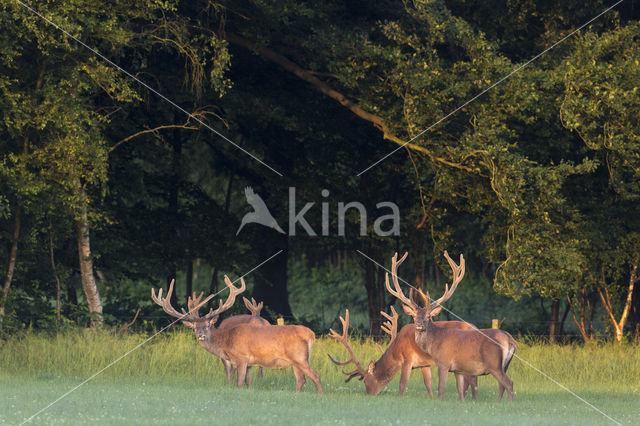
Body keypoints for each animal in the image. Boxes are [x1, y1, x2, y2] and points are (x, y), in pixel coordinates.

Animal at [149, 276, 320, 392]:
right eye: (195, 327)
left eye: (208, 325)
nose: (201, 335)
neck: (227, 340)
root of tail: (311, 334)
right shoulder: (250, 363)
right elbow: (248, 383)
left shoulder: (241, 358)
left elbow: (239, 383)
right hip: (296, 360)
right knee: (302, 380)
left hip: (299, 356)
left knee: (314, 376)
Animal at [384, 251, 516, 402]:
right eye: (414, 316)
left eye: (428, 316)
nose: (419, 325)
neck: (434, 343)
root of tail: (510, 339)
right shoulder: (457, 369)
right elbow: (460, 391)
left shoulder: (443, 362)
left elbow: (441, 389)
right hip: (505, 365)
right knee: (502, 385)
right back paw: (499, 402)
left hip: (494, 364)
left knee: (508, 383)